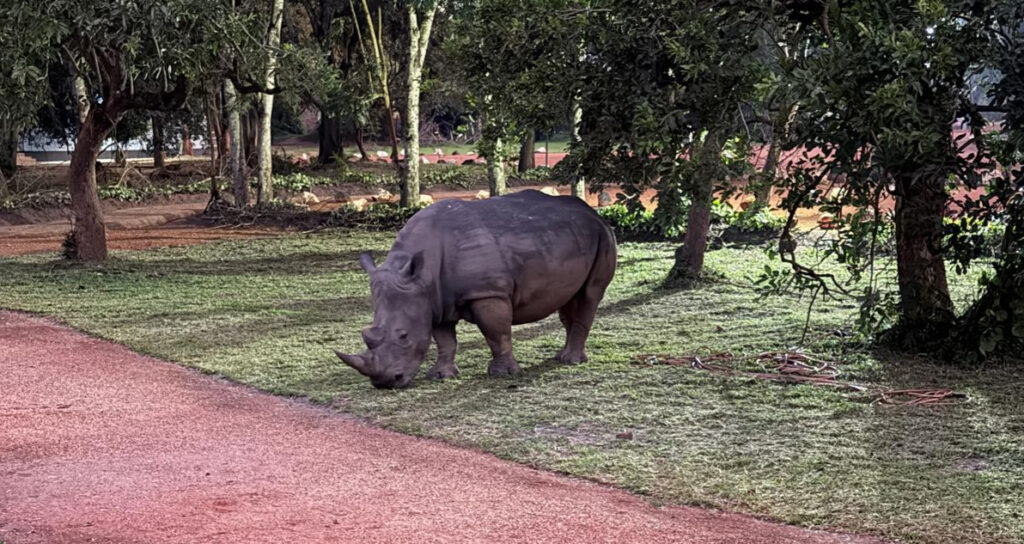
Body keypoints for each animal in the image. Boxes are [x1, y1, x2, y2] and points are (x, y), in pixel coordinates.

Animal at [335, 189, 617, 389]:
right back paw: (564, 357)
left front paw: (502, 374)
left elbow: (496, 333)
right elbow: (445, 340)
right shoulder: (434, 300)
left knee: (590, 294)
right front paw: (442, 376)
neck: (422, 277)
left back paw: (570, 361)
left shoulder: (488, 293)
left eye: (403, 336)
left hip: (603, 237)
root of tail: (593, 213)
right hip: (569, 238)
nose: (384, 383)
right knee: (569, 300)